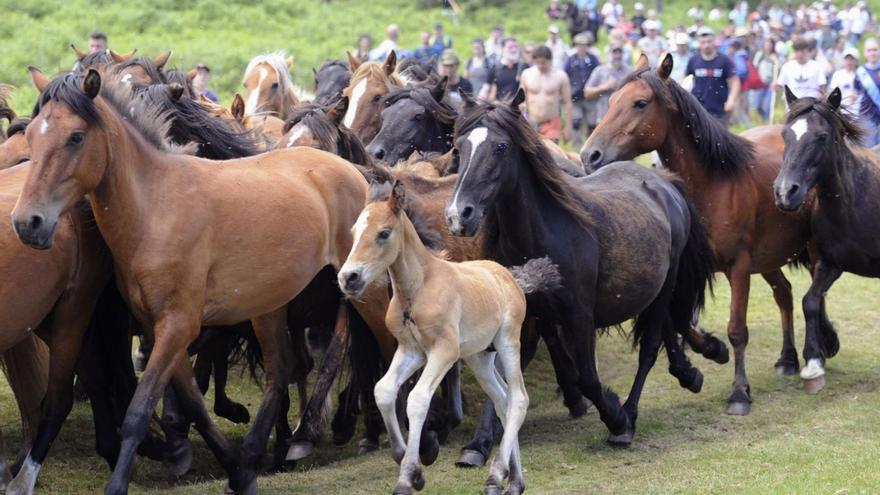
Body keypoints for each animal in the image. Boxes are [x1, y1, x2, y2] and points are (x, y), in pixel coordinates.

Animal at [10, 70, 388, 495]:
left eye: (75, 137)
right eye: (31, 136)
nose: (28, 223)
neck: (156, 207)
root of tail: (352, 172)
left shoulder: (179, 325)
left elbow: (140, 408)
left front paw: (119, 483)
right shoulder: (158, 329)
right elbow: (191, 403)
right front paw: (236, 471)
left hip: (366, 294)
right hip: (270, 307)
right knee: (281, 372)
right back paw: (266, 449)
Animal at [444, 89, 712, 472]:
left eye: (500, 147)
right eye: (458, 148)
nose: (458, 216)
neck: (540, 239)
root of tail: (665, 183)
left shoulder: (579, 315)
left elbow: (588, 378)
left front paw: (616, 418)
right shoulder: (522, 317)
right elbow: (500, 375)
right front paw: (477, 444)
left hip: (665, 286)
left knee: (649, 348)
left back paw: (630, 415)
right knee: (665, 333)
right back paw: (689, 374)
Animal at [580, 54, 836, 416]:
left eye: (640, 103)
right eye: (612, 99)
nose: (590, 156)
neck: (715, 185)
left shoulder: (738, 268)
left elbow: (737, 330)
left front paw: (739, 392)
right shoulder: (686, 271)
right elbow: (680, 321)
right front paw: (711, 350)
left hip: (808, 251)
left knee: (816, 292)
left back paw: (823, 348)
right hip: (768, 258)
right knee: (784, 294)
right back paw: (787, 359)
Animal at [772, 86, 876, 396]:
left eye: (821, 137)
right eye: (785, 135)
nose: (785, 192)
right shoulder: (829, 264)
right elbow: (811, 301)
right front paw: (813, 363)